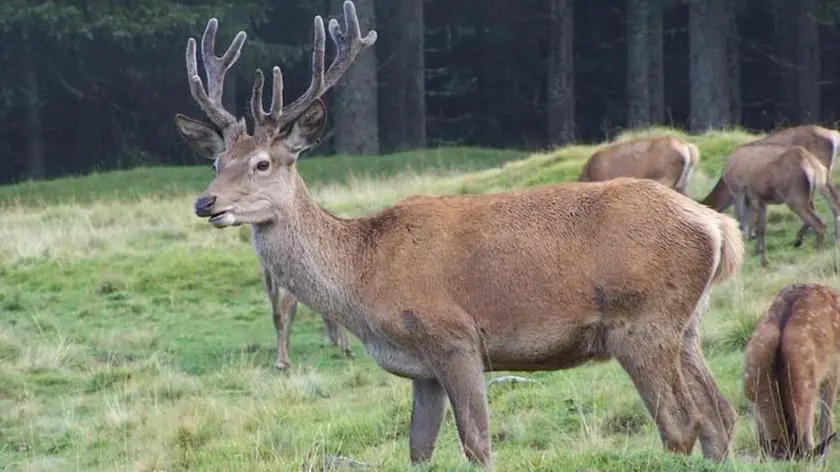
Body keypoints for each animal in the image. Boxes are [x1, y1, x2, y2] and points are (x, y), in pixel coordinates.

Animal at [704, 124, 840, 243]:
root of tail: (833, 134)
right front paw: (751, 235)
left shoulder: (740, 190)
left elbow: (744, 216)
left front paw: (749, 235)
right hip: (824, 174)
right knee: (833, 200)